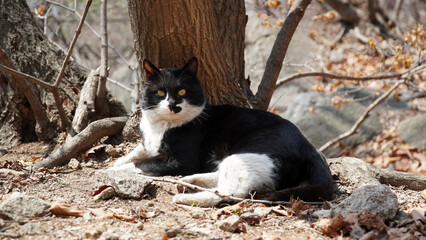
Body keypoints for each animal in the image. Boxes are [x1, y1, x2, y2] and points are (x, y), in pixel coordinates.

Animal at [109, 57, 332, 206]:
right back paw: (188, 181)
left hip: (246, 155)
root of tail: (309, 146)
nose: (173, 105)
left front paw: (111, 170)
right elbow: (139, 151)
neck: (162, 126)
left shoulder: (180, 161)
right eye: (161, 92)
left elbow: (141, 163)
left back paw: (185, 196)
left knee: (230, 192)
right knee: (220, 176)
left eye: (182, 91)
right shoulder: (149, 142)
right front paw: (116, 163)